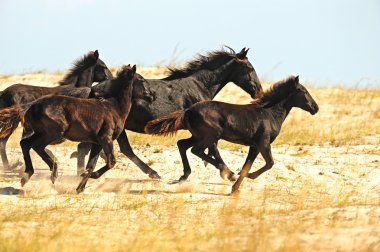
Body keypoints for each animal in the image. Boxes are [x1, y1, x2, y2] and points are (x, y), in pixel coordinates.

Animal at [0, 65, 138, 193]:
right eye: (139, 79)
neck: (114, 107)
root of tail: (32, 105)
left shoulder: (97, 143)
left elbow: (91, 165)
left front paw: (80, 188)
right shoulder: (106, 138)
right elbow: (111, 162)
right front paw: (86, 178)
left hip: (41, 132)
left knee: (25, 144)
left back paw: (28, 174)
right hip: (54, 133)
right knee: (35, 146)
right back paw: (52, 172)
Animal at [75, 47, 262, 180]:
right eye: (249, 67)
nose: (258, 91)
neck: (200, 85)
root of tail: (93, 89)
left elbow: (197, 147)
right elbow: (212, 148)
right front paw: (227, 173)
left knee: (119, 149)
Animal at [144, 75, 320, 193]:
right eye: (302, 90)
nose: (315, 108)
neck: (269, 113)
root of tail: (187, 110)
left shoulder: (254, 146)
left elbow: (247, 165)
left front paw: (235, 188)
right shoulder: (263, 143)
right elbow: (269, 163)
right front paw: (246, 178)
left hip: (197, 136)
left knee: (182, 144)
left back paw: (187, 175)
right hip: (211, 135)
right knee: (196, 150)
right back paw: (225, 171)